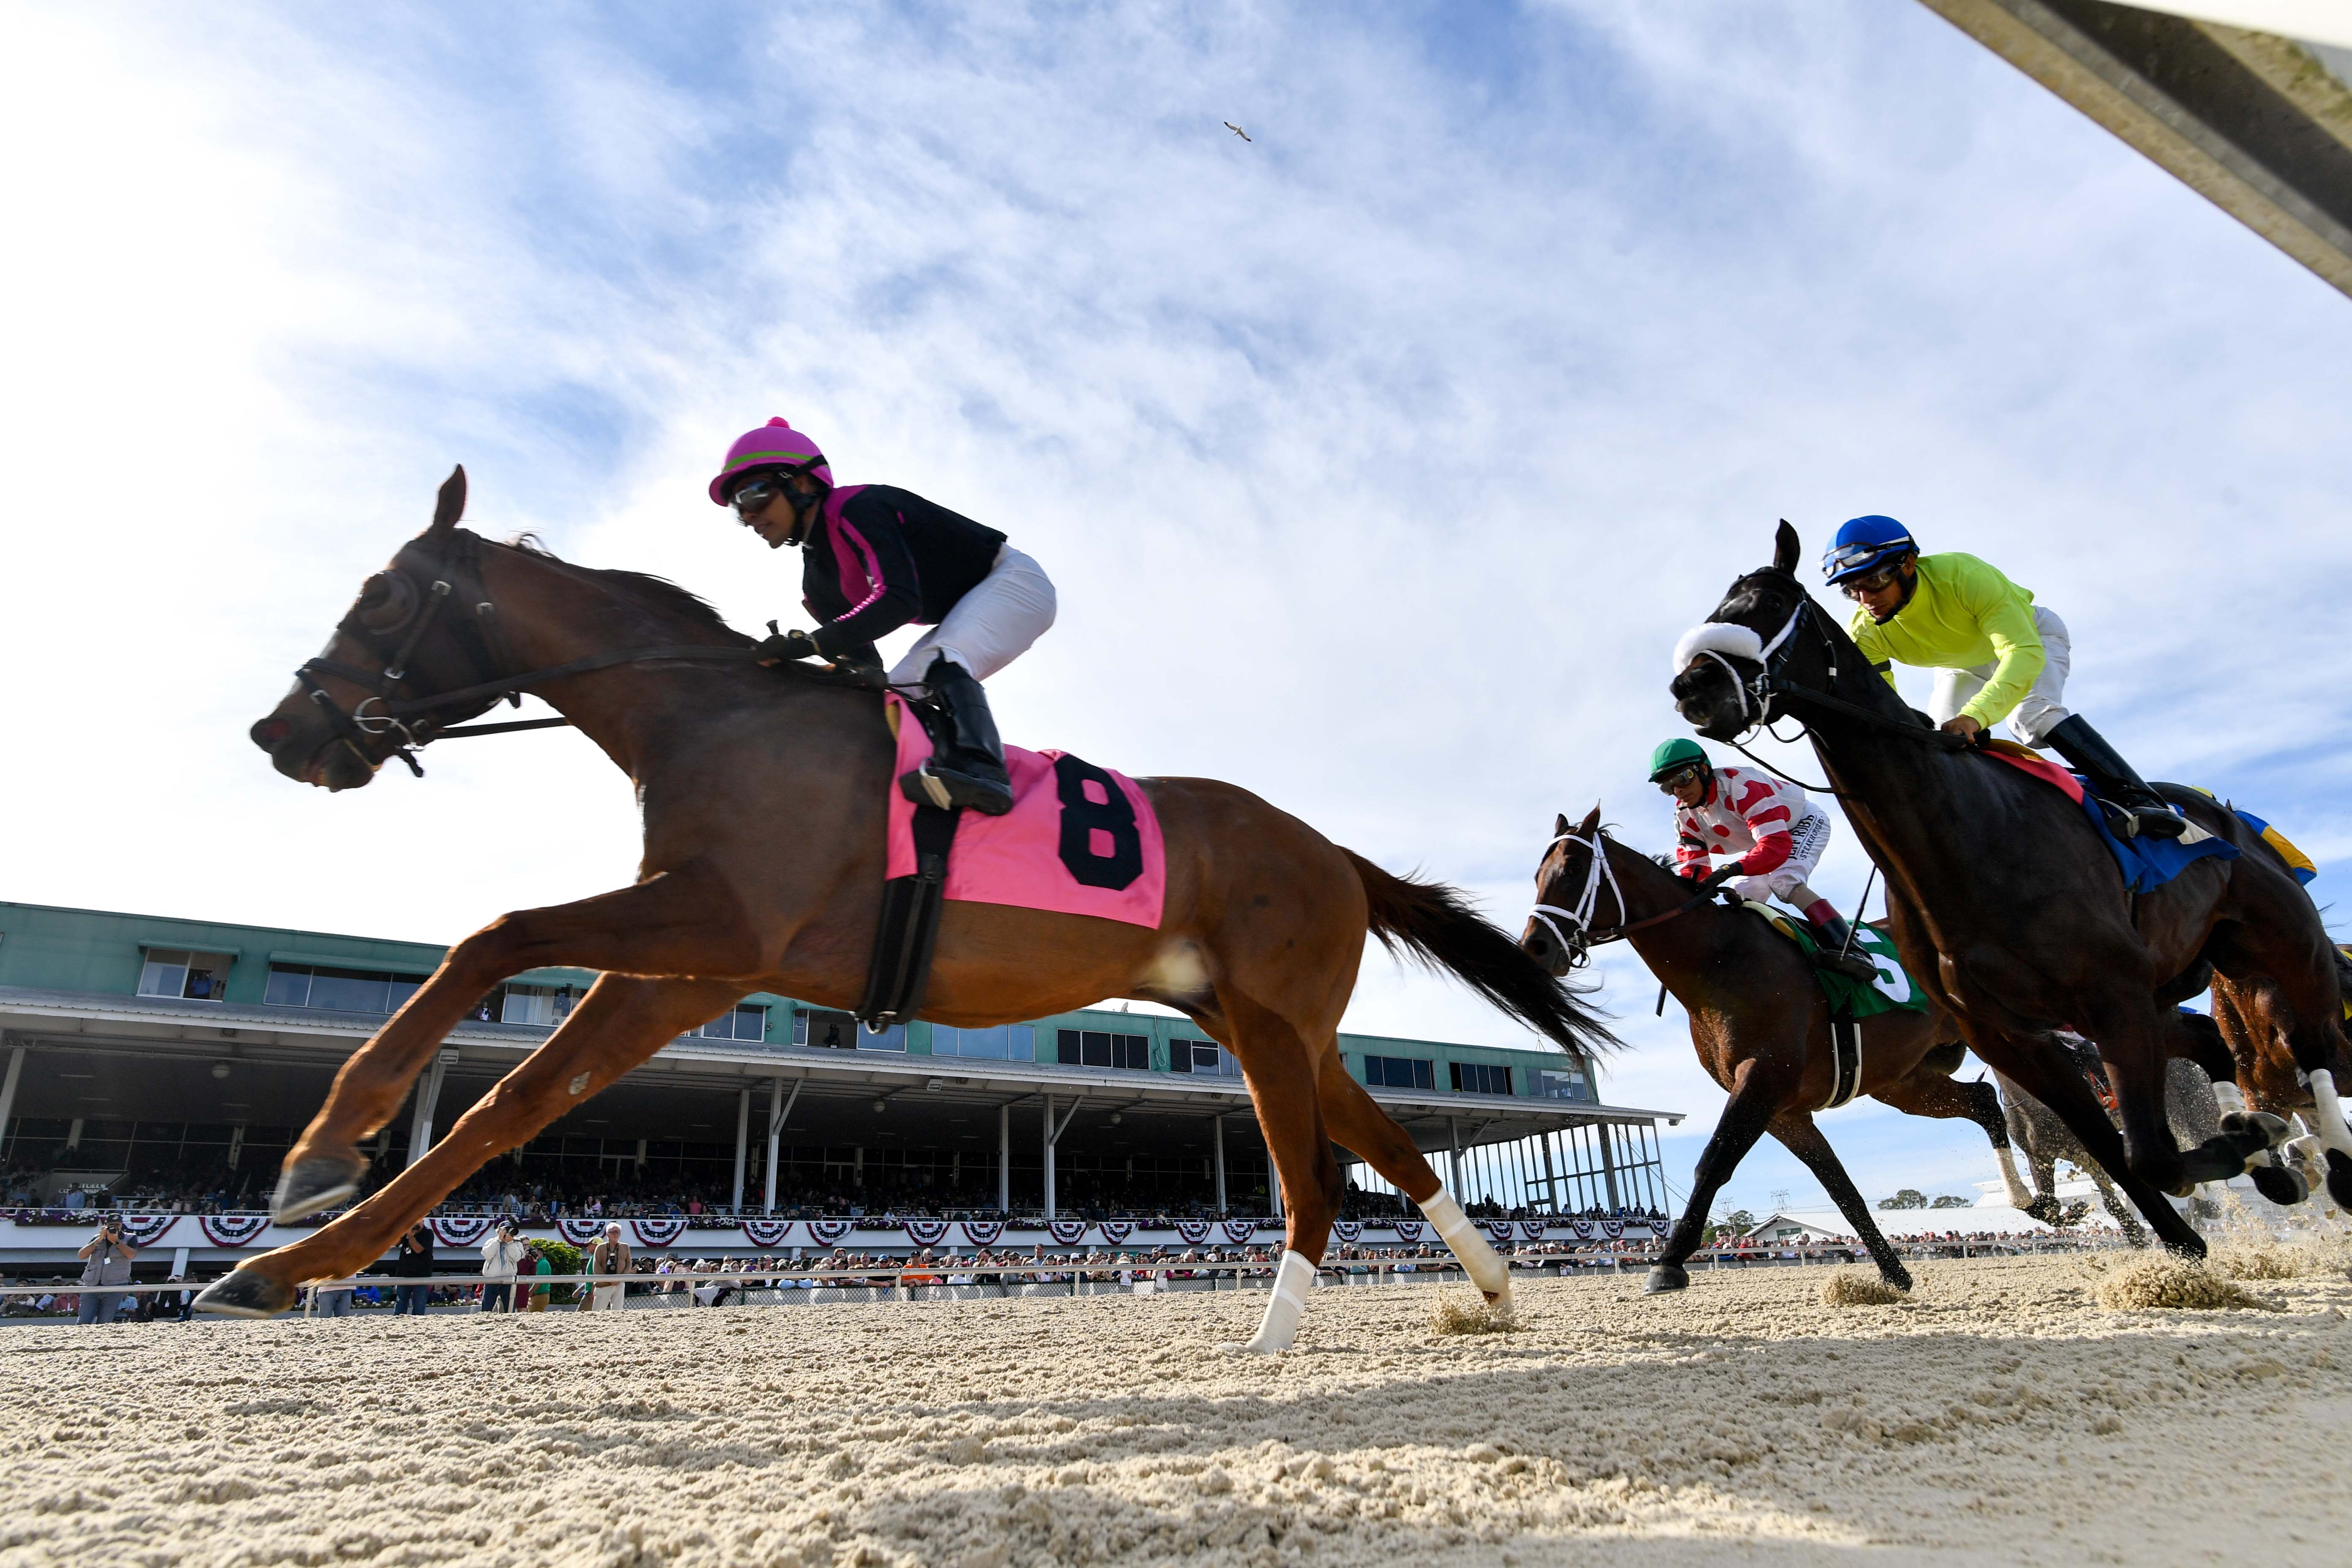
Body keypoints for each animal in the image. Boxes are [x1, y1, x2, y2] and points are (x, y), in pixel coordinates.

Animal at [203, 467, 1614, 1347]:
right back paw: (1492, 1287)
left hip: (1270, 1026)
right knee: (1393, 1147)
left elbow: (493, 936)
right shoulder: (694, 967)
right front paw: (277, 1259)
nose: (283, 731)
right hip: (1268, 1021)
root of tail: (1329, 848)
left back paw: (1269, 1334)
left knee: (1314, 1174)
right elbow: (514, 1097)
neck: (711, 715)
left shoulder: (719, 925)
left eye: (386, 595)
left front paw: (316, 1159)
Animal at [1519, 806, 2014, 1294]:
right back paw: (2029, 1198)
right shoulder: (1784, 1110)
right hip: (1901, 1082)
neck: (1719, 960)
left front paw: (1669, 1263)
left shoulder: (1763, 1077)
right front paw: (1896, 1275)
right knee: (1983, 1100)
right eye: (1537, 875)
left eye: (1573, 869)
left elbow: (1713, 1163)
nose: (1534, 948)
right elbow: (1841, 1187)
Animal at [1665, 522, 2352, 1254]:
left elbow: (2152, 1155)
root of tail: (2226, 813)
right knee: (2215, 1045)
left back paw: (2327, 1162)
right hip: (2177, 986)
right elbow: (2118, 1154)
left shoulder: (2113, 997)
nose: (1691, 686)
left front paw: (2246, 1154)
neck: (1962, 836)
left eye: (1768, 604)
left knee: (2314, 1052)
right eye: (1721, 605)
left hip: (2284, 949)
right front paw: (2197, 1225)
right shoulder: (2011, 1035)